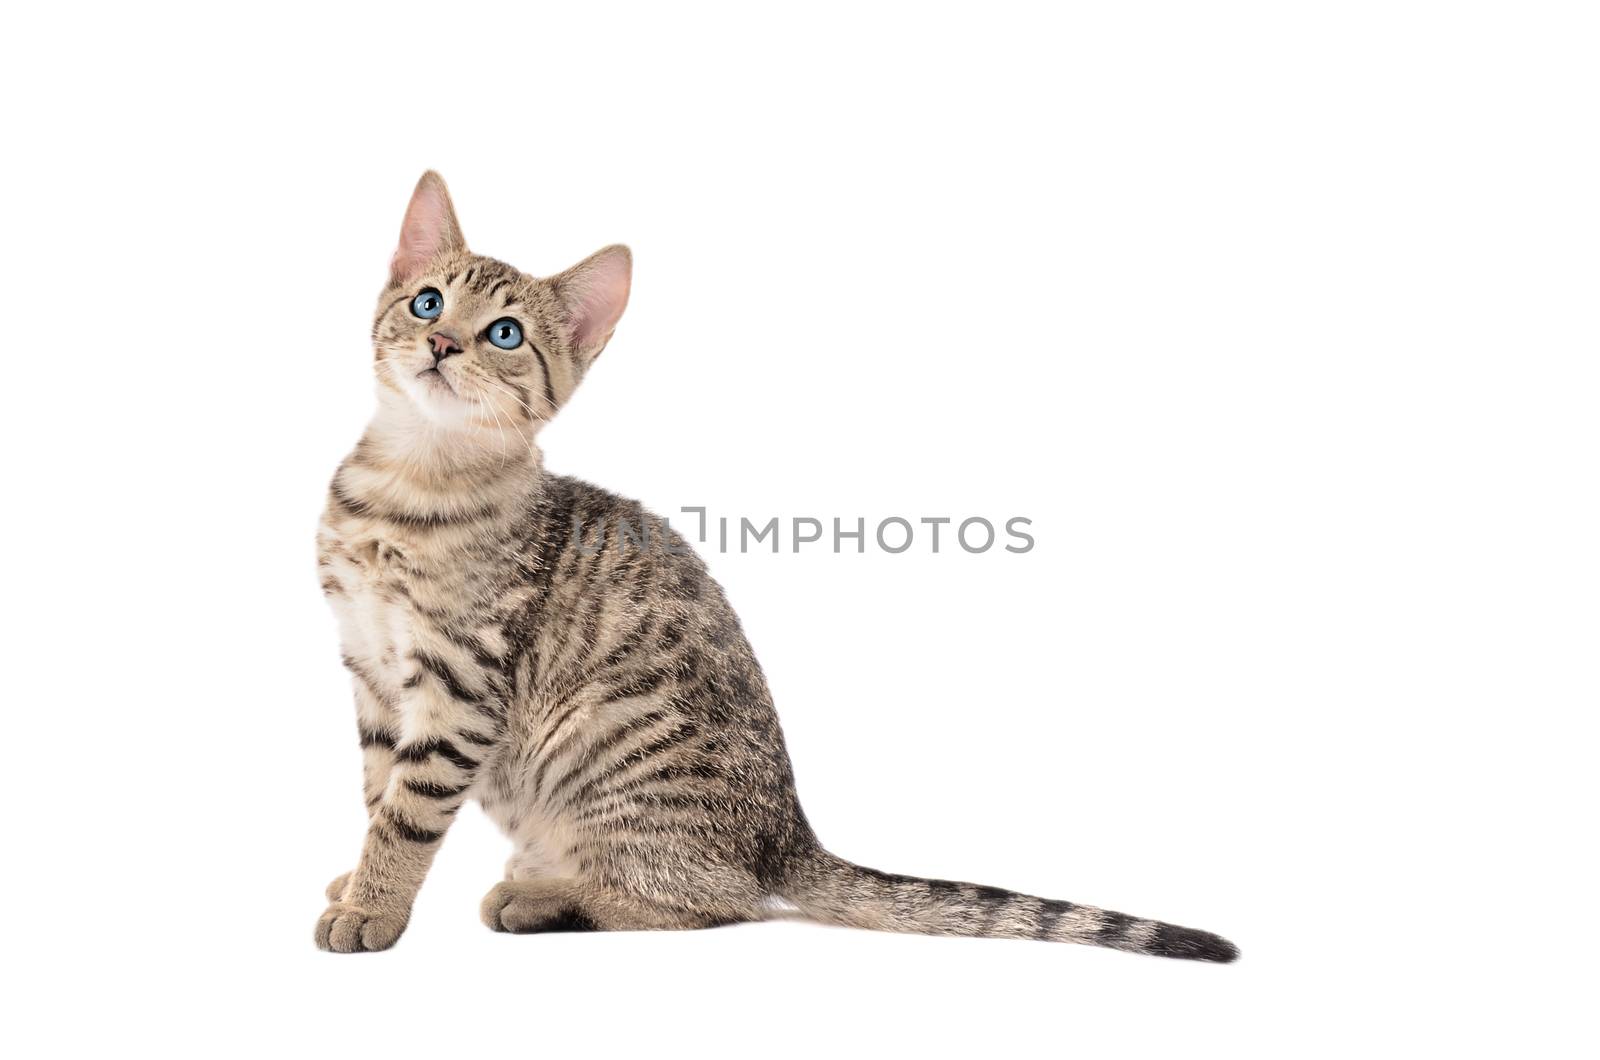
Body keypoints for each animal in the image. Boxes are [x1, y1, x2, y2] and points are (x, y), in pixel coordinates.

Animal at [312, 172, 1235, 960]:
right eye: (427, 300)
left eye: (504, 333)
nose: (441, 340)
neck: (408, 484)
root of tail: (788, 834)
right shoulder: (369, 669)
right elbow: (377, 789)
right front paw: (358, 882)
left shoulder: (459, 682)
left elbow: (408, 810)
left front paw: (375, 904)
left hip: (612, 754)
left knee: (721, 902)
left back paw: (548, 898)